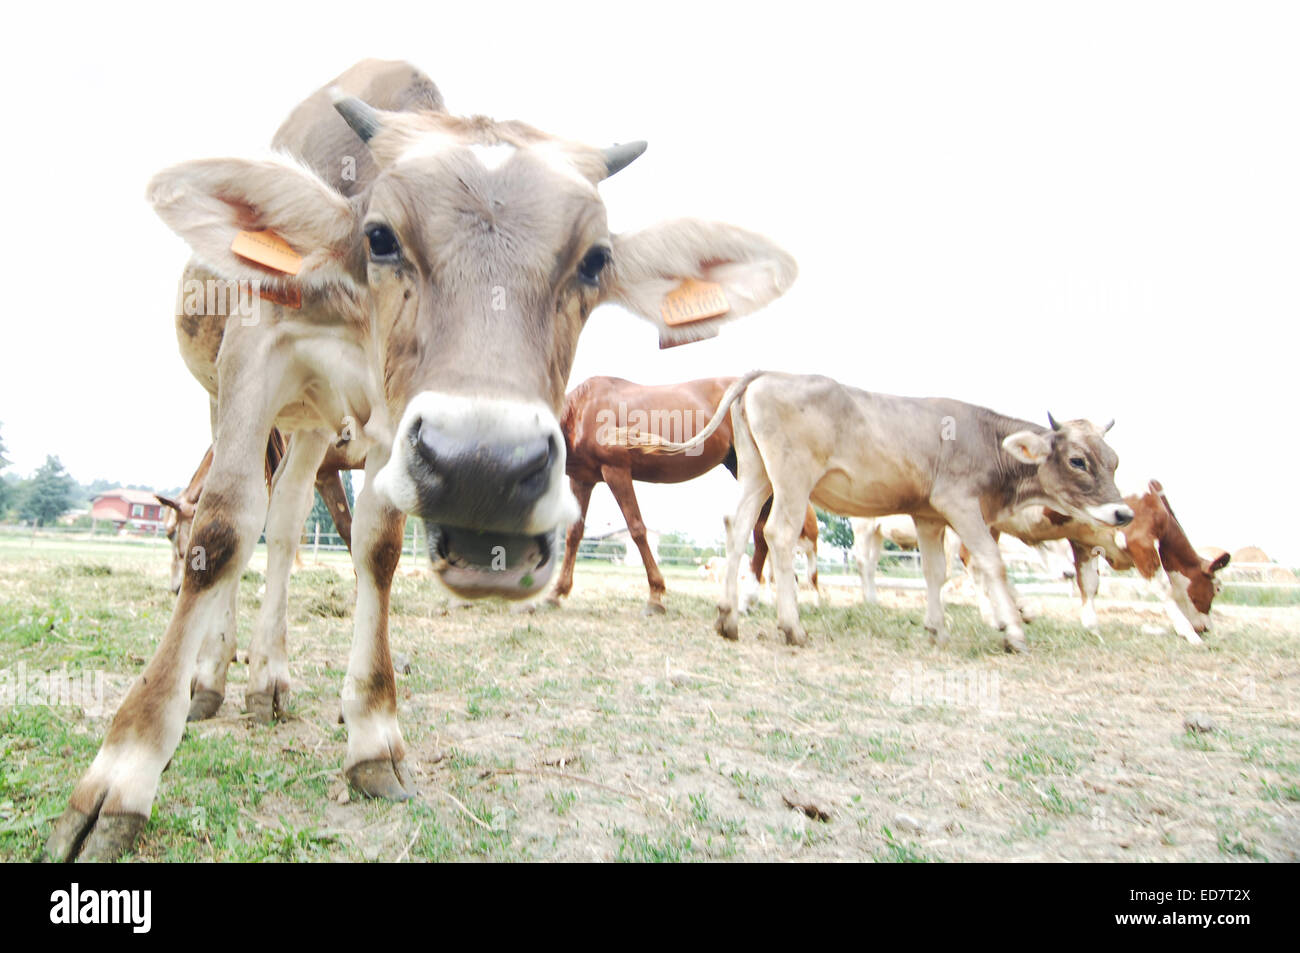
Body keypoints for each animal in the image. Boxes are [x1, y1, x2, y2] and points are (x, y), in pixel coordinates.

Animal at [549, 376, 818, 614]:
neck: (582, 409)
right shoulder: (582, 480)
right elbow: (574, 534)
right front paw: (557, 592)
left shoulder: (616, 471)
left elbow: (637, 529)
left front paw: (655, 596)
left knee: (762, 531)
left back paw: (752, 599)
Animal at [629, 371, 1131, 652]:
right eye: (1077, 460)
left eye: (1114, 460)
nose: (1123, 514)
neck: (987, 439)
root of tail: (766, 374)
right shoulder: (960, 505)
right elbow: (992, 562)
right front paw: (1013, 632)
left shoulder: (929, 515)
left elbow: (934, 573)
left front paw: (936, 630)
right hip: (792, 478)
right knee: (778, 535)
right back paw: (792, 628)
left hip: (757, 474)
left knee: (738, 528)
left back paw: (728, 619)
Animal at [970, 480, 1230, 642]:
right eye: (1216, 588)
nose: (1206, 628)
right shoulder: (1140, 541)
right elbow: (1163, 587)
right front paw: (1188, 633)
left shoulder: (1085, 543)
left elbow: (1089, 583)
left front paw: (1092, 627)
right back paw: (993, 616)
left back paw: (1023, 610)